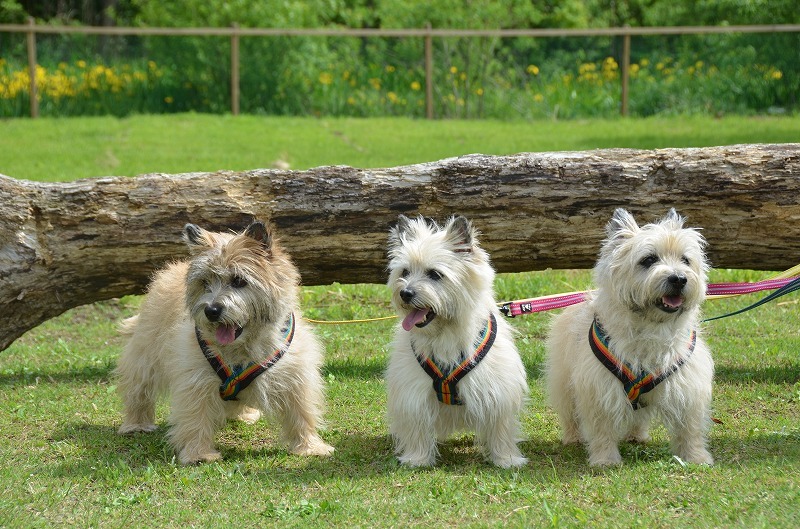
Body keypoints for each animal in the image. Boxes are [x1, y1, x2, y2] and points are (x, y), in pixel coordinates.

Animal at [116, 221, 334, 464]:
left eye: (239, 280)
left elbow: (301, 411)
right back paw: (136, 423)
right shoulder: (195, 378)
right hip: (146, 356)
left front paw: (310, 446)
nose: (211, 311)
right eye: (205, 283)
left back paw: (245, 414)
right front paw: (198, 453)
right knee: (139, 389)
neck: (243, 346)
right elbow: (196, 416)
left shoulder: (295, 373)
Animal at [385, 215, 528, 468]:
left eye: (435, 274)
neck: (445, 332)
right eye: (405, 271)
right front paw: (417, 459)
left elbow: (500, 427)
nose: (405, 293)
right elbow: (416, 426)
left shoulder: (497, 389)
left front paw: (506, 459)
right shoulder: (413, 391)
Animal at [546, 208, 714, 466]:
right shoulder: (599, 388)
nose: (679, 278)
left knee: (639, 416)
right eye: (649, 260)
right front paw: (605, 459)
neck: (651, 325)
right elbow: (602, 428)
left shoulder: (688, 386)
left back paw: (636, 436)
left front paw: (696, 457)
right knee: (570, 413)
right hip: (564, 379)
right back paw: (573, 437)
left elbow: (690, 427)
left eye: (685, 260)